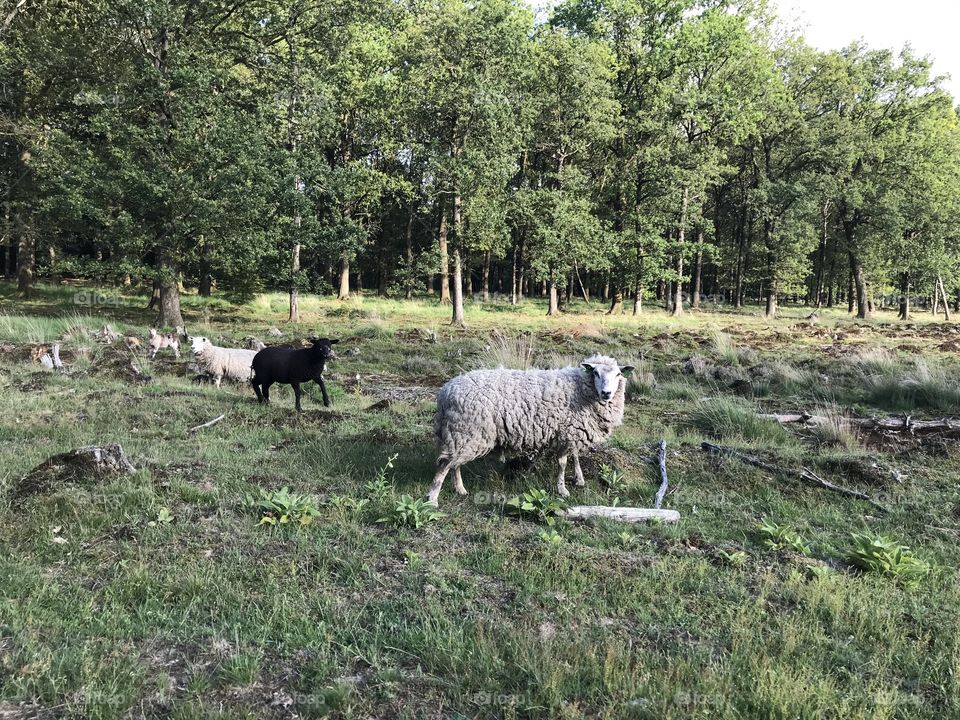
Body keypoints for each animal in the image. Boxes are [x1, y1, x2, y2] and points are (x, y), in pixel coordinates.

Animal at [426, 354, 634, 506]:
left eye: (618, 374)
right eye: (596, 373)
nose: (606, 393)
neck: (581, 389)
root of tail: (445, 392)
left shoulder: (573, 431)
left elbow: (575, 456)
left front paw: (579, 479)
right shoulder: (566, 433)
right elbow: (562, 463)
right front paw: (562, 489)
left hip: (461, 433)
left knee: (455, 463)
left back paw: (460, 489)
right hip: (467, 431)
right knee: (445, 464)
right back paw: (432, 499)